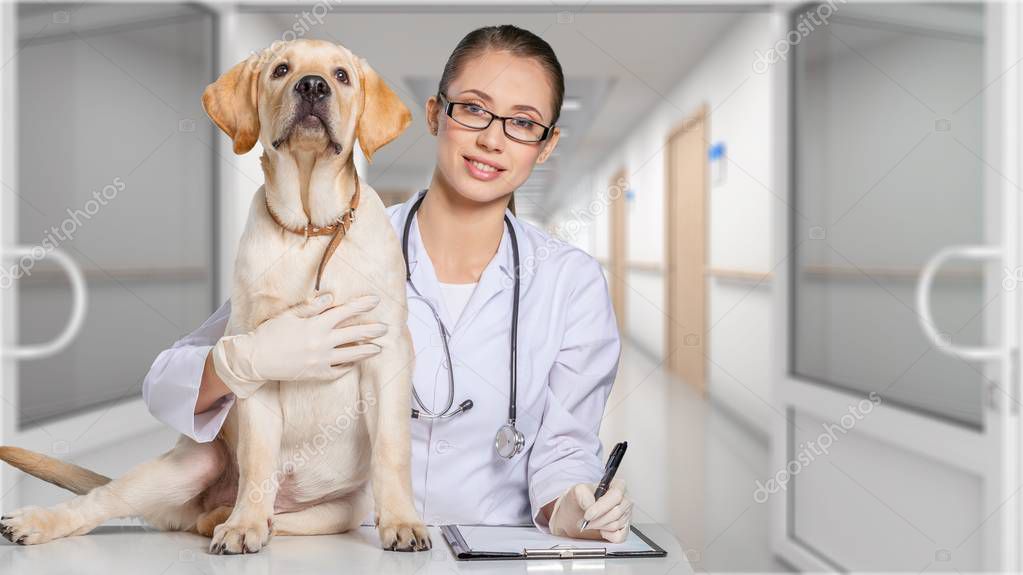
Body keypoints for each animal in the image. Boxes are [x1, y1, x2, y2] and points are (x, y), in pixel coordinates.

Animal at [0, 38, 427, 552]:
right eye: (281, 70)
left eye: (341, 76)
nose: (312, 86)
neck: (310, 229)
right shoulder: (260, 356)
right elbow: (259, 456)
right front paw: (244, 525)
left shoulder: (388, 353)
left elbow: (392, 449)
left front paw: (402, 521)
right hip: (190, 463)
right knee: (101, 500)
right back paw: (42, 521)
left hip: (338, 511)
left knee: (263, 516)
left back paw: (233, 517)